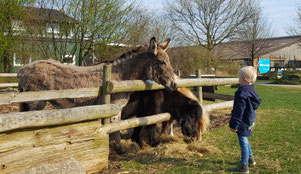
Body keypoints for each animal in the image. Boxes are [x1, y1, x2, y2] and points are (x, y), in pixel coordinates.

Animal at [17, 37, 176, 111]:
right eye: (162, 62)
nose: (174, 84)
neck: (121, 76)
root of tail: (22, 70)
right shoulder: (112, 107)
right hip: (36, 104)